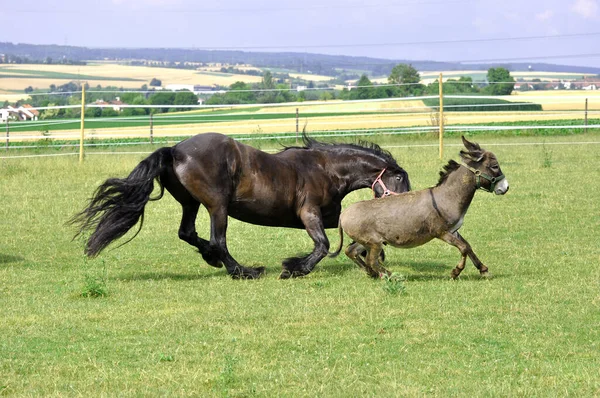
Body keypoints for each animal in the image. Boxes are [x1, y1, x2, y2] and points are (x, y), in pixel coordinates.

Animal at [69, 132, 408, 278]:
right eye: (401, 180)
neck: (326, 169)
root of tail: (175, 150)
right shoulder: (309, 213)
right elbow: (323, 245)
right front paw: (294, 268)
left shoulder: (326, 217)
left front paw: (373, 259)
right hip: (217, 206)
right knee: (218, 240)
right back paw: (244, 271)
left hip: (191, 203)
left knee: (187, 233)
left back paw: (213, 259)